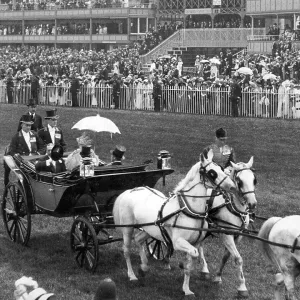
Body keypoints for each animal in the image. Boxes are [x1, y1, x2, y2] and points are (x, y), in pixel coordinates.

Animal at [113, 150, 239, 298]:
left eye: (221, 168)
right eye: (212, 172)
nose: (233, 187)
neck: (189, 210)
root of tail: (129, 191)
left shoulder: (194, 242)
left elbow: (190, 264)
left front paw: (187, 289)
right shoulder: (178, 242)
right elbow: (194, 254)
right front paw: (181, 266)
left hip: (149, 230)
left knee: (139, 240)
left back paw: (144, 267)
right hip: (127, 228)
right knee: (126, 250)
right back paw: (132, 275)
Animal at [197, 157, 258, 298]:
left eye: (254, 180)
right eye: (239, 181)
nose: (252, 203)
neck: (233, 206)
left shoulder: (237, 236)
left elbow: (226, 257)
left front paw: (217, 277)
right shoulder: (226, 234)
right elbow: (238, 259)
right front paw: (242, 287)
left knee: (200, 244)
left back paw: (204, 270)